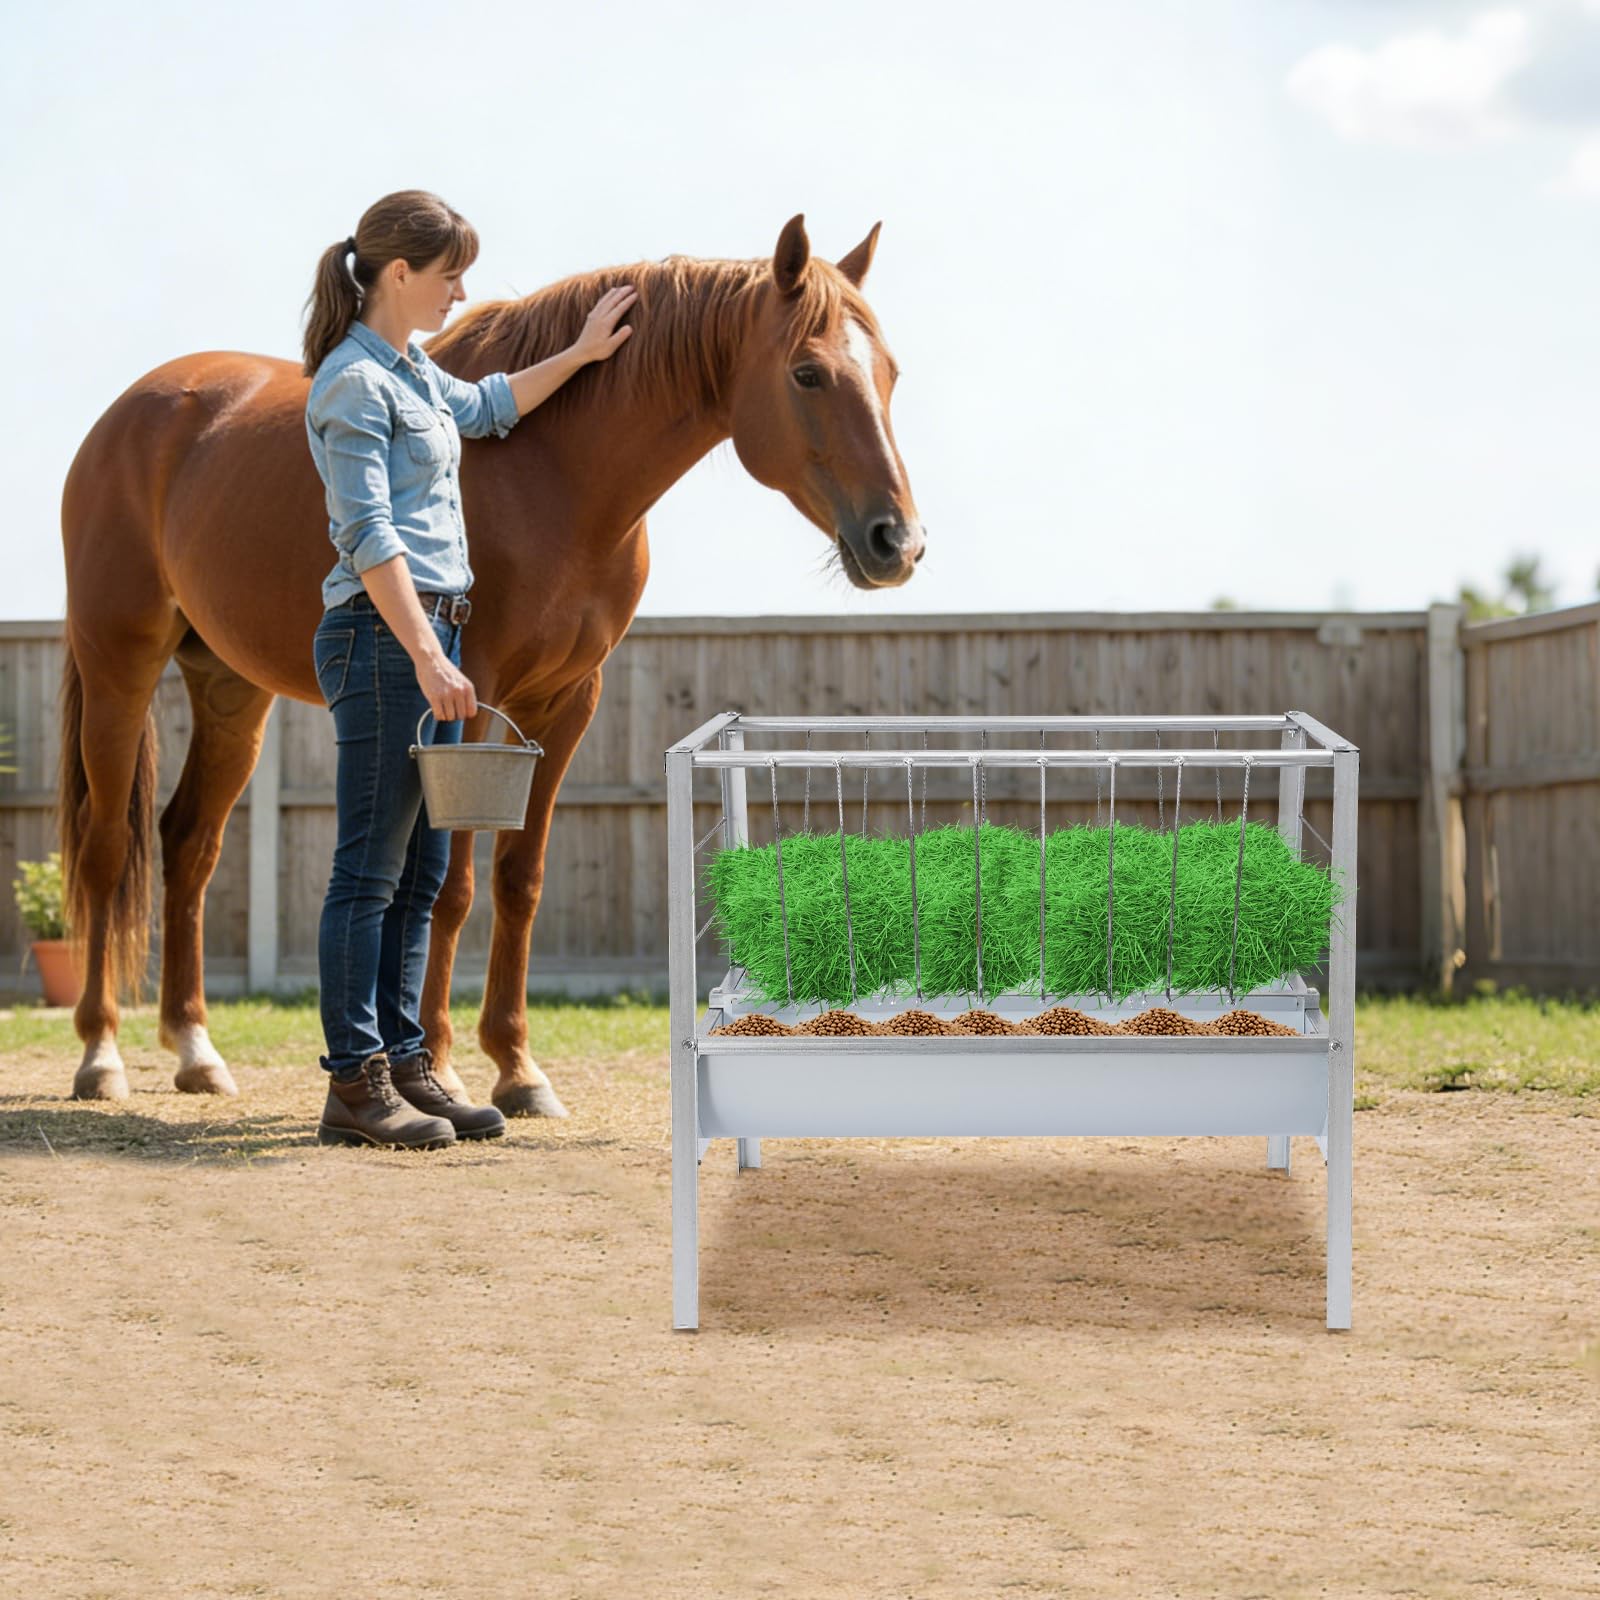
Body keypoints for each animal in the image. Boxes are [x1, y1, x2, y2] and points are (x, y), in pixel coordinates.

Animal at [55, 213, 925, 1114]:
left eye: (890, 372)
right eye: (807, 373)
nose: (897, 541)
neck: (554, 473)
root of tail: (135, 411)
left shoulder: (567, 705)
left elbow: (518, 879)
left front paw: (518, 1068)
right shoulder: (471, 703)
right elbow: (450, 889)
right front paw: (439, 1065)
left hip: (231, 689)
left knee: (189, 844)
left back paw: (196, 1050)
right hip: (120, 664)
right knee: (107, 849)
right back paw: (100, 1056)